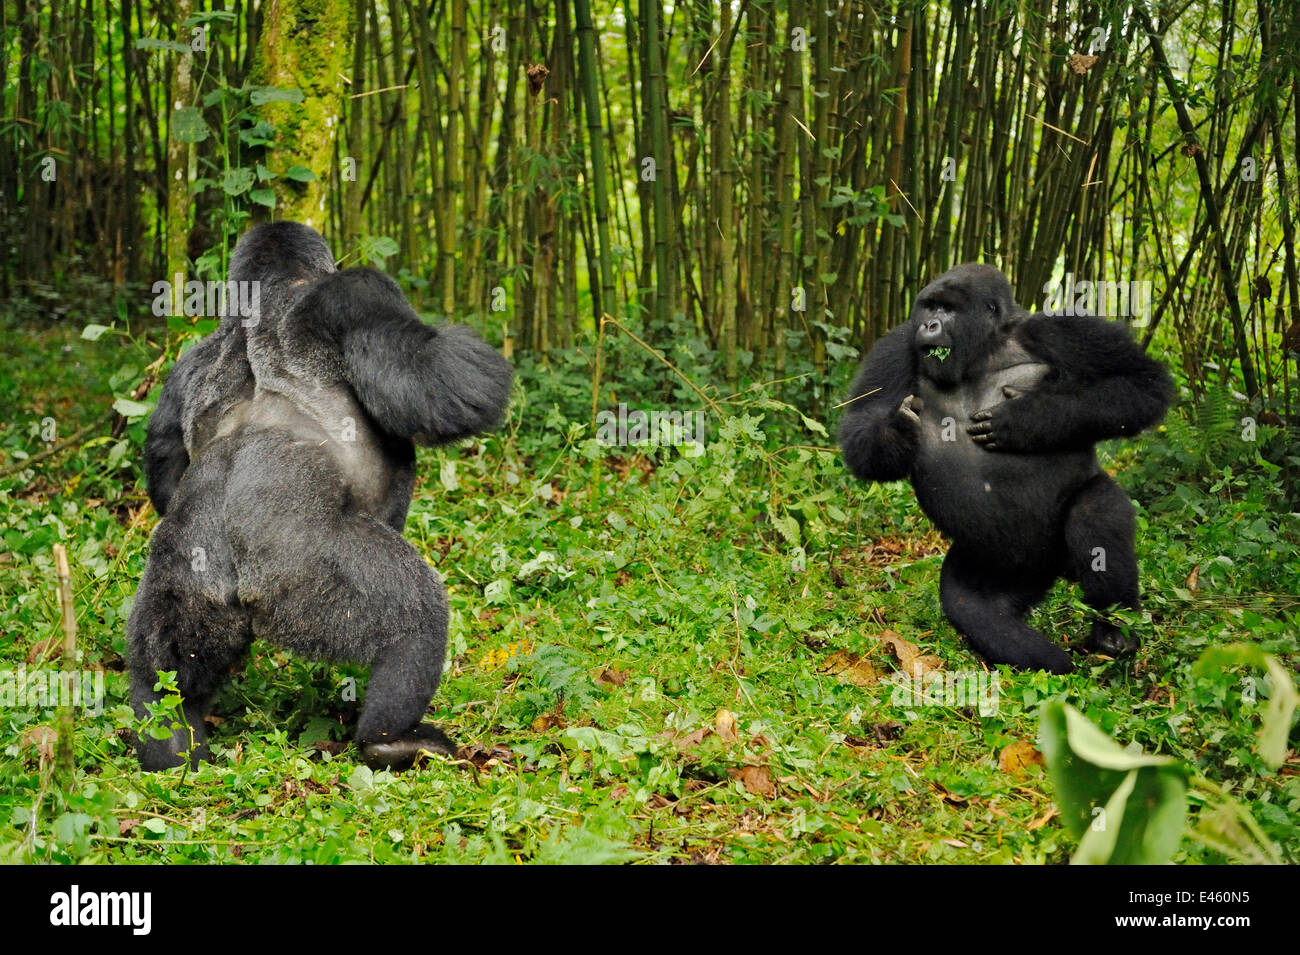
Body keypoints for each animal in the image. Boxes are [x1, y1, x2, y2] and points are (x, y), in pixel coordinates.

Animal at [128, 222, 512, 769]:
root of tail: (237, 580)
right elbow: (446, 381)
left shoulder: (187, 362)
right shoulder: (358, 291)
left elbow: (164, 456)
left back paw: (170, 742)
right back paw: (390, 738)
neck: (265, 297)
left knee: (159, 668)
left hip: (185, 584)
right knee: (416, 617)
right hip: (306, 580)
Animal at [837, 265, 1175, 675]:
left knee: (1096, 511)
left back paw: (1114, 633)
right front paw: (898, 430)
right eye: (929, 307)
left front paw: (1030, 417)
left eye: (948, 310)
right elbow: (860, 427)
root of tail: (1056, 570)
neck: (982, 352)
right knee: (973, 607)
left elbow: (1142, 383)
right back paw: (1054, 664)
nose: (930, 325)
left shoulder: (1058, 330)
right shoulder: (898, 343)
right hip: (1007, 566)